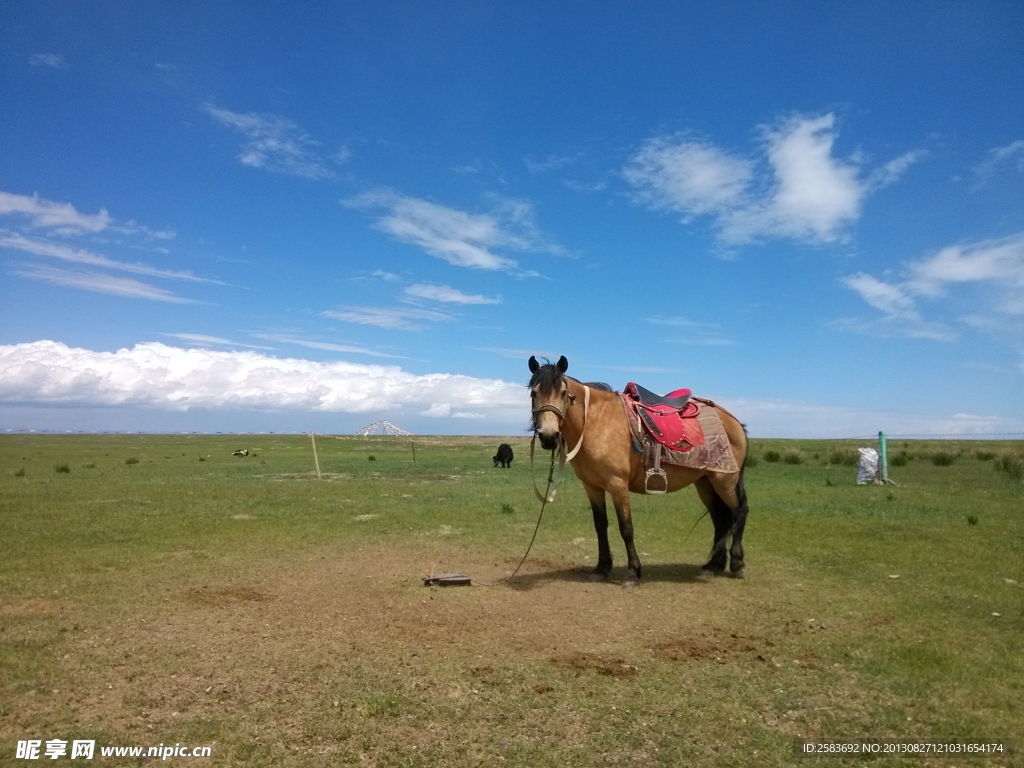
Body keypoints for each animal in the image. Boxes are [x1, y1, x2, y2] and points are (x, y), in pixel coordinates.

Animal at [532, 356, 749, 589]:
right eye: (533, 393)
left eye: (563, 393)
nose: (548, 436)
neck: (595, 423)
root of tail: (733, 421)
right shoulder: (592, 487)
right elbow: (600, 526)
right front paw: (601, 569)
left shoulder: (618, 485)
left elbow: (626, 529)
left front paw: (632, 573)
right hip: (705, 482)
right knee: (721, 519)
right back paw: (713, 566)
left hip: (725, 481)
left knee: (739, 512)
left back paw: (737, 565)